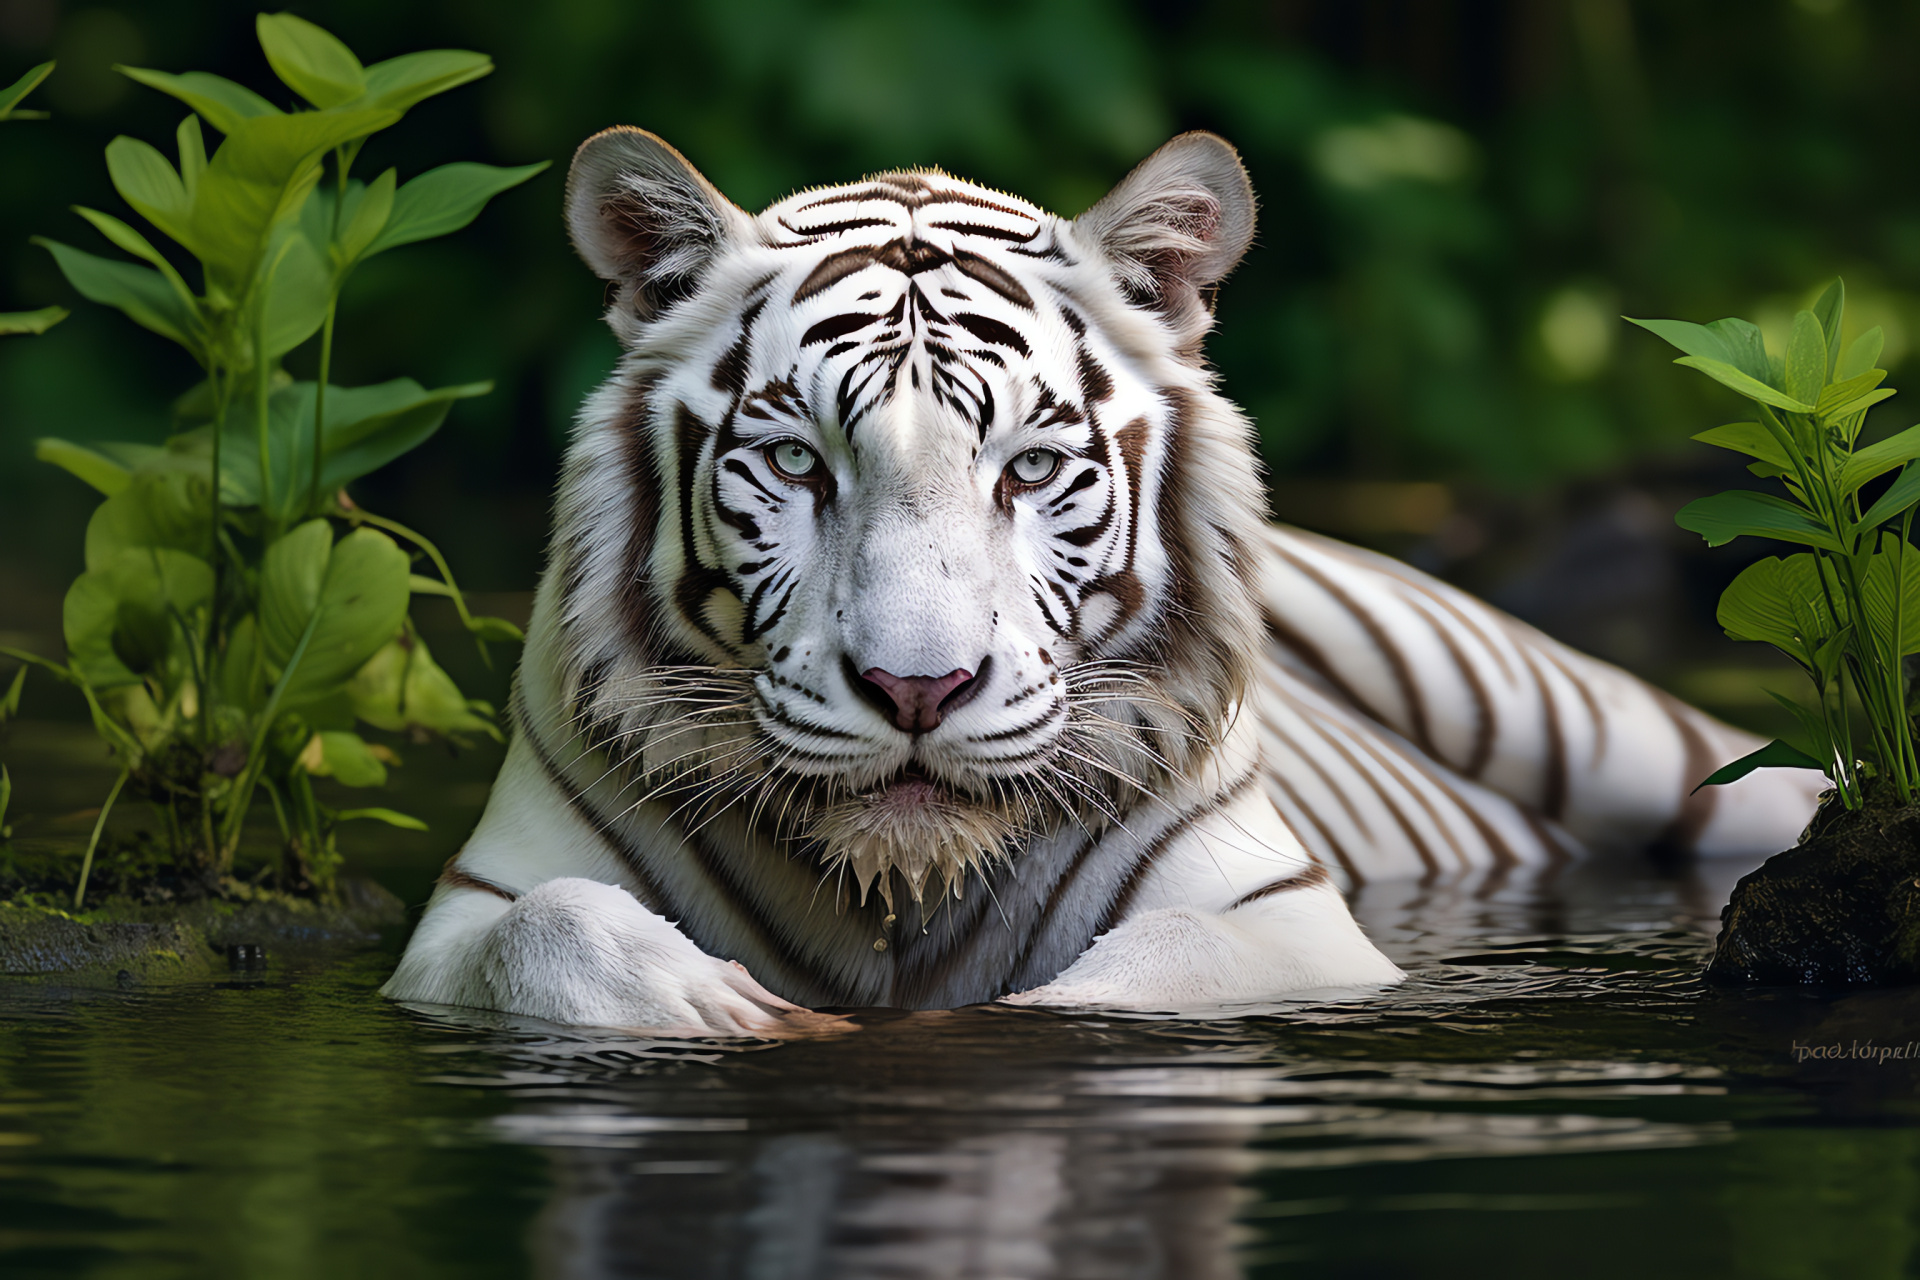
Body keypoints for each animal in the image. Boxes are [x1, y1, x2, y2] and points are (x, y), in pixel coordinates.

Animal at [382, 130, 1820, 1036]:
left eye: (1029, 464)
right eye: (796, 460)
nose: (918, 689)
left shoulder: (1294, 928)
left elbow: (1166, 960)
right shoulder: (464, 917)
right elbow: (547, 928)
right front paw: (718, 1004)